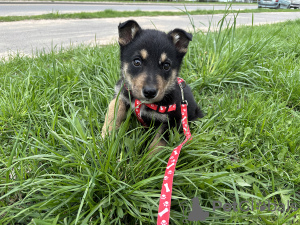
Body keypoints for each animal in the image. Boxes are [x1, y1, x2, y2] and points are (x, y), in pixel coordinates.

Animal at [102, 20, 203, 152]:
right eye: (137, 62)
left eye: (166, 66)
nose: (150, 92)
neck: (142, 103)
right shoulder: (121, 94)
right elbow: (114, 111)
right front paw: (107, 135)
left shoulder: (170, 122)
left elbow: (157, 144)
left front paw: (150, 157)